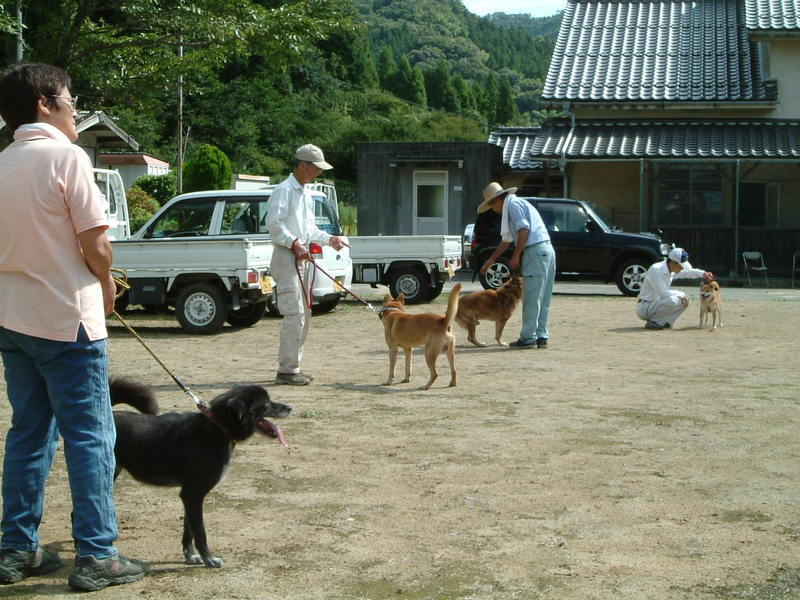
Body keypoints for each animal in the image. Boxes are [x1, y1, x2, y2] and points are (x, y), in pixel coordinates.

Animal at [109, 380, 290, 568]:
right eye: (266, 403)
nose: (290, 407)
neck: (217, 427)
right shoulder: (193, 494)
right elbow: (200, 531)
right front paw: (209, 558)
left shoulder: (190, 495)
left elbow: (189, 529)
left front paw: (190, 556)